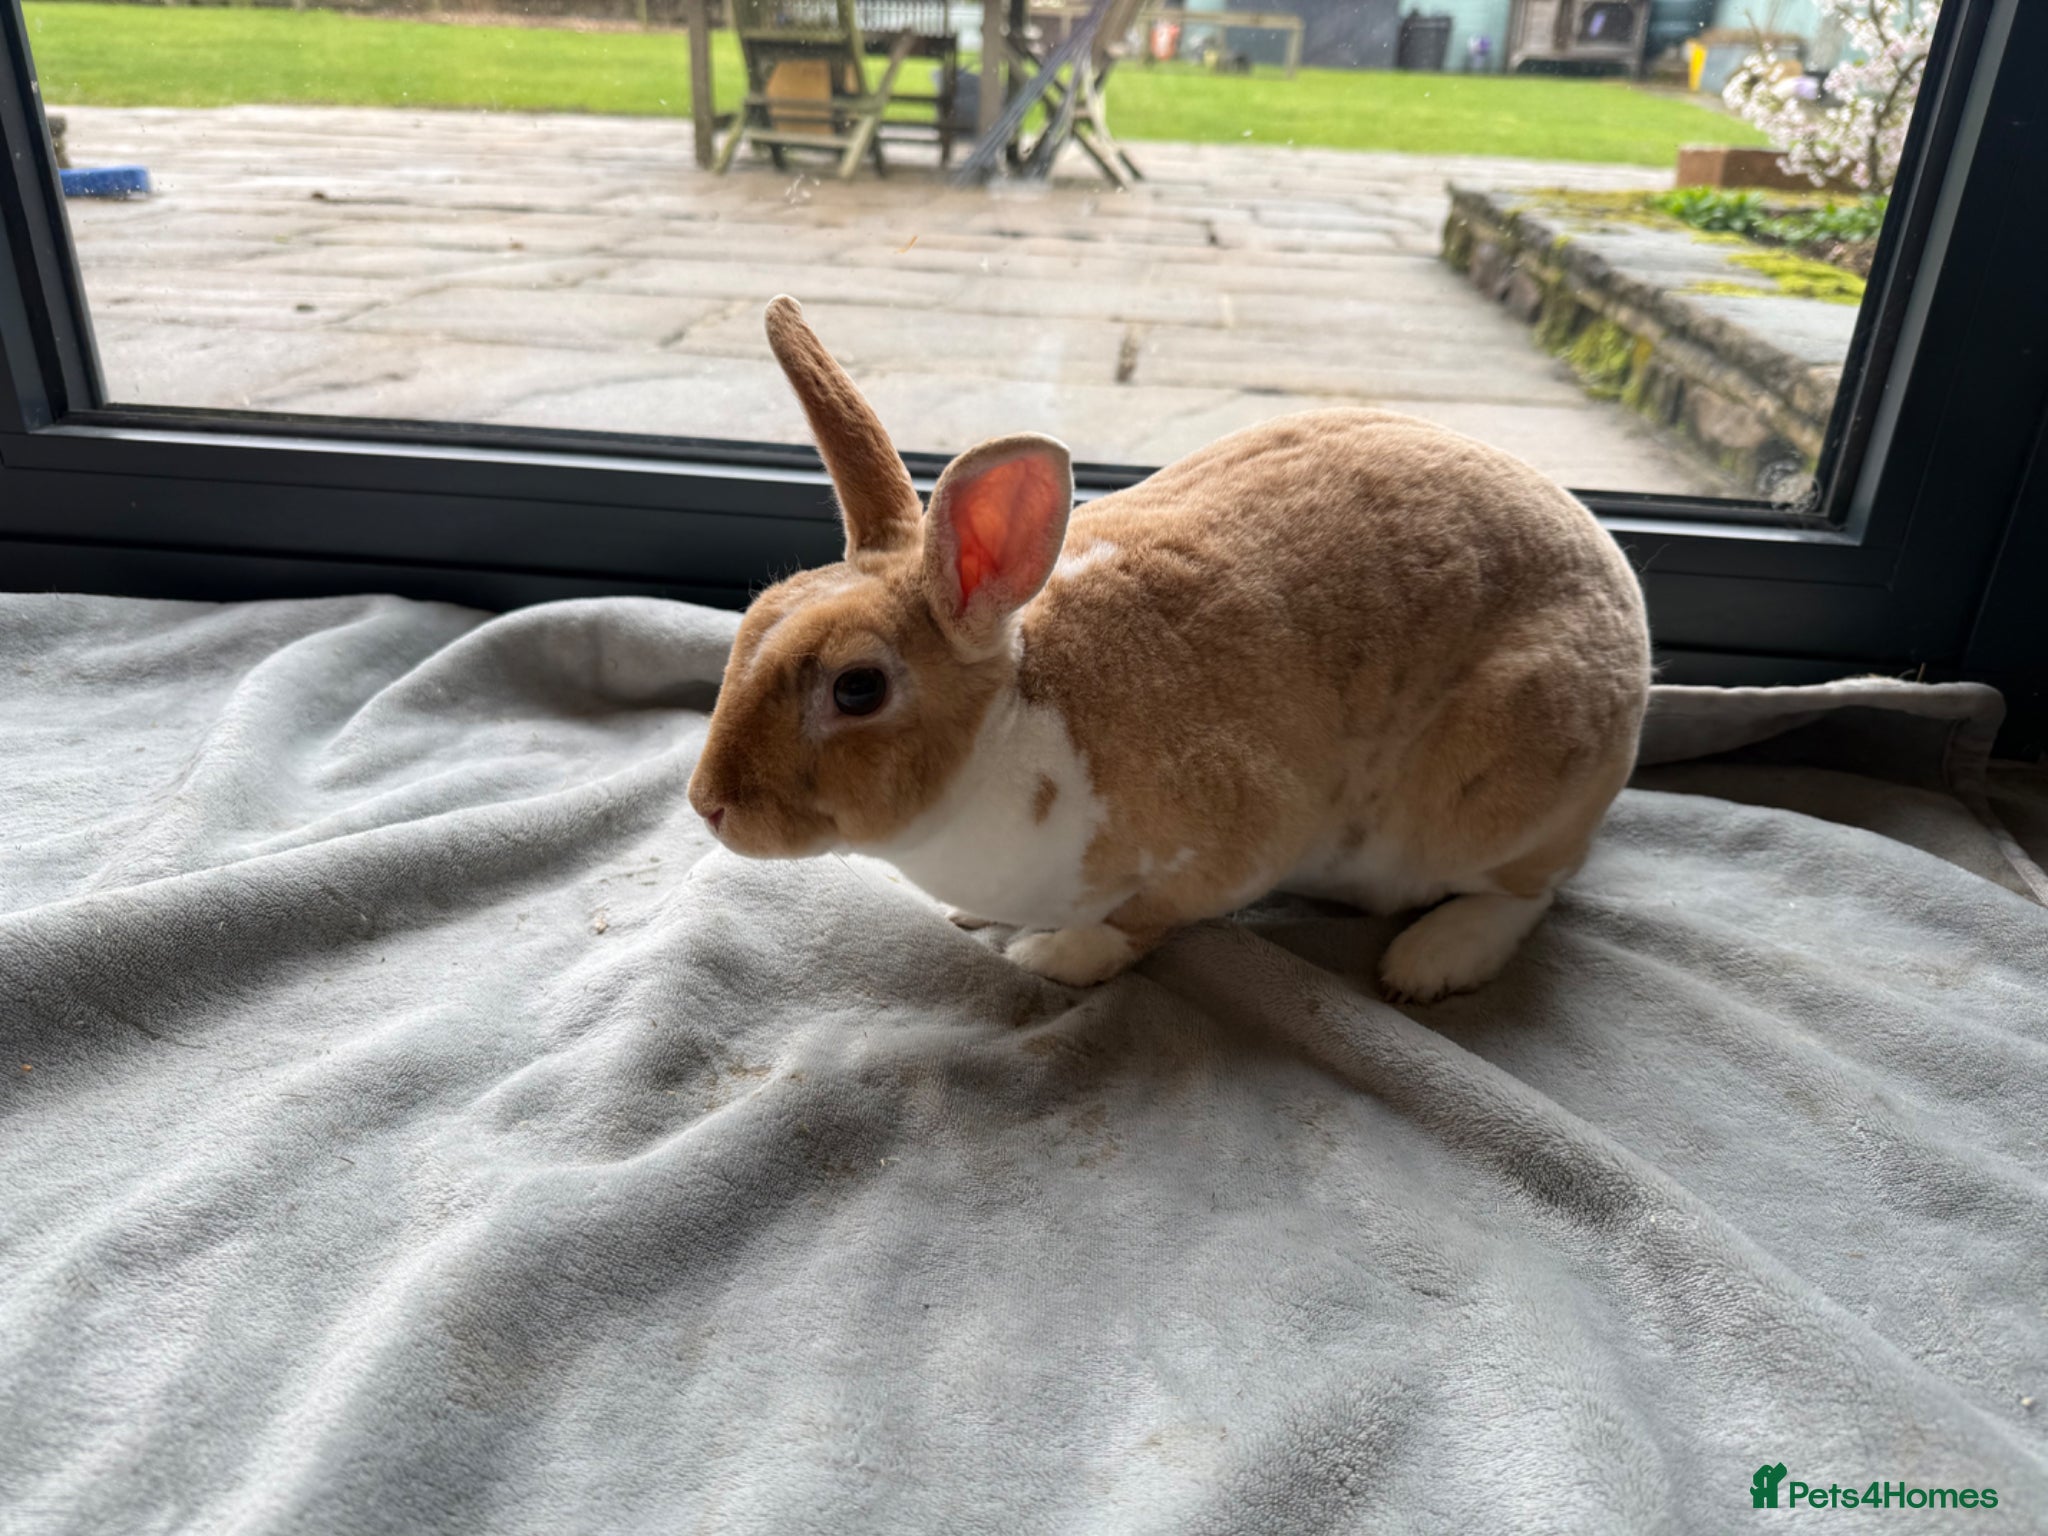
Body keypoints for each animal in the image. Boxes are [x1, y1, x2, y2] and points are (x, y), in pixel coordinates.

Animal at [687, 296, 1651, 1002]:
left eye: (857, 688)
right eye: (754, 618)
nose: (707, 806)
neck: (1011, 728)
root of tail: (1628, 616)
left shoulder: (1238, 837)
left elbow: (1141, 921)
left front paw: (1050, 956)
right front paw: (976, 924)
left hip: (1502, 782)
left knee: (1529, 888)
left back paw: (1432, 961)